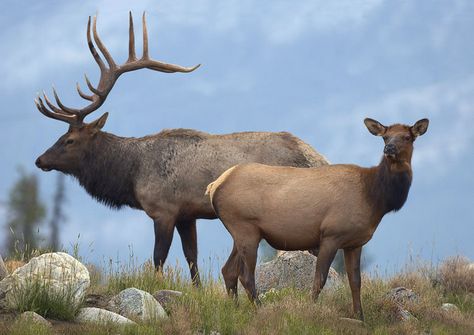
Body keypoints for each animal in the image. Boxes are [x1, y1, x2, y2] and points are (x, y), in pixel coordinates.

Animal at [34, 12, 330, 286]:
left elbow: (158, 257)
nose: (39, 160)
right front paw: (197, 291)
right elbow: (191, 258)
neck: (131, 174)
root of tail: (318, 158)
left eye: (70, 140)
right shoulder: (187, 215)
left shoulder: (163, 210)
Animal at [207, 118, 430, 320]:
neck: (375, 198)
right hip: (245, 227)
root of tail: (214, 185)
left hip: (243, 232)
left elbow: (355, 281)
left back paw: (236, 309)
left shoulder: (355, 242)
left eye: (407, 137)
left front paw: (360, 317)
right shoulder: (331, 235)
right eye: (385, 136)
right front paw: (310, 308)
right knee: (245, 275)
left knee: (228, 270)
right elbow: (320, 279)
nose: (389, 148)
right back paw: (260, 309)